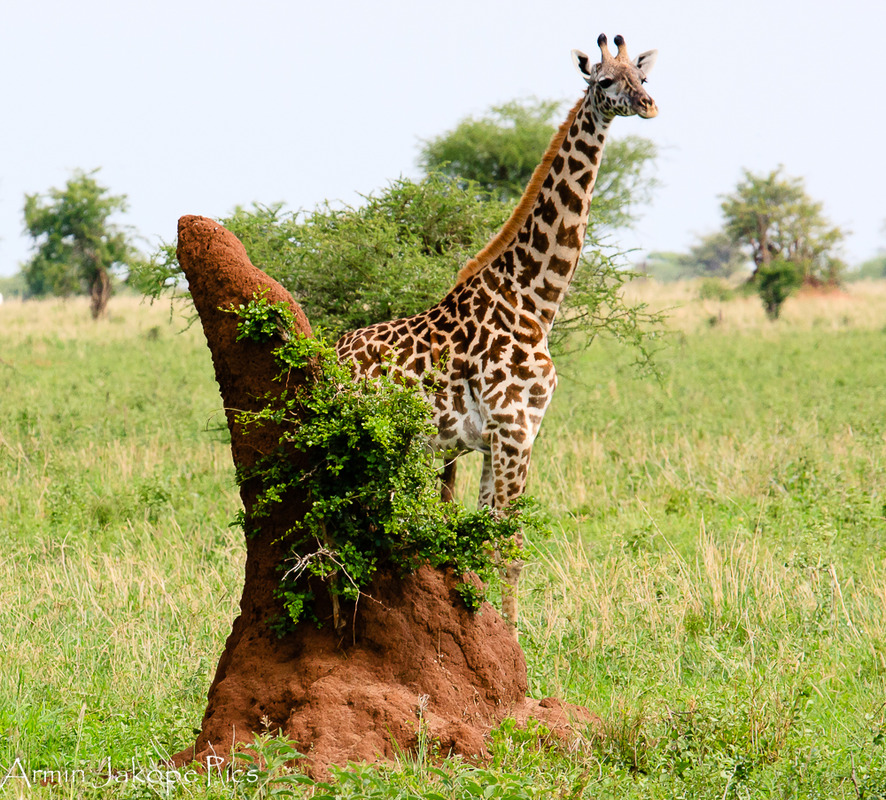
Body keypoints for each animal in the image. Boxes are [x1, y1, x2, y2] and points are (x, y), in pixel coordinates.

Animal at [335, 34, 658, 629]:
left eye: (642, 77)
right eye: (604, 81)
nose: (648, 105)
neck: (535, 301)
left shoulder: (500, 437)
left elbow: (486, 540)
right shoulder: (513, 429)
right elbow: (509, 546)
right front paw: (512, 640)